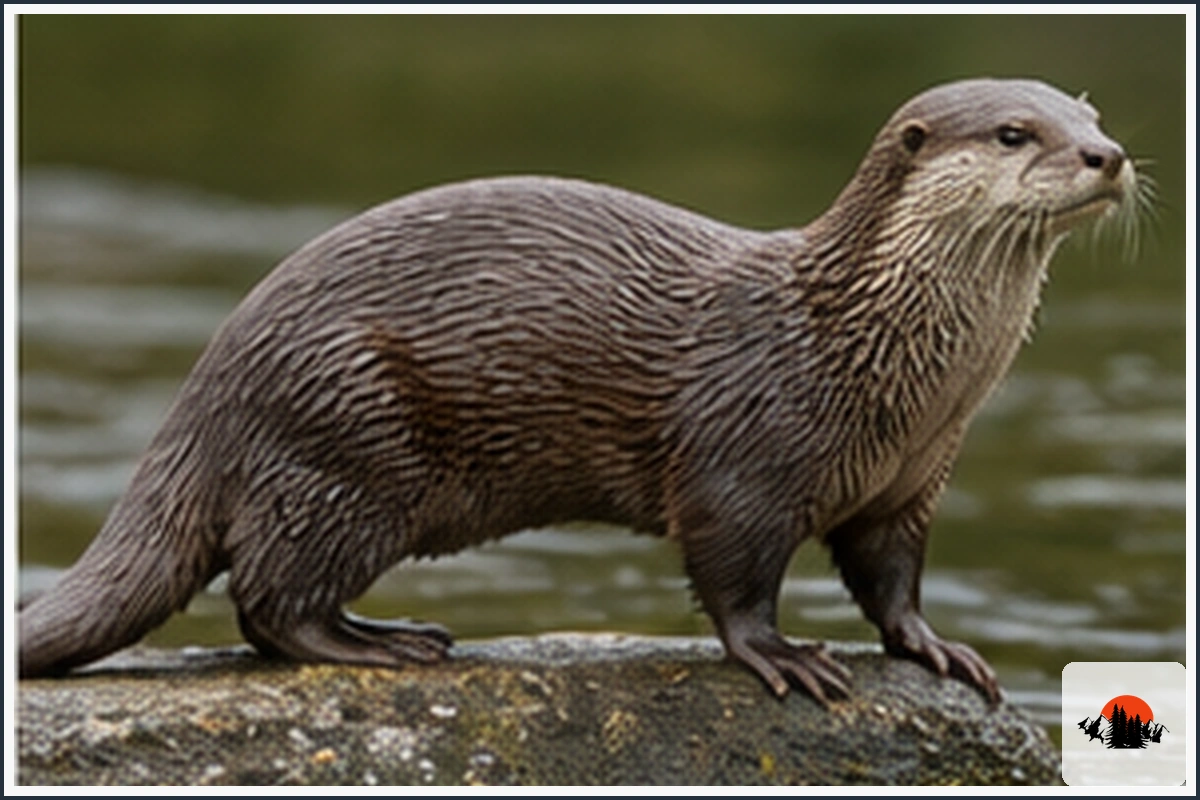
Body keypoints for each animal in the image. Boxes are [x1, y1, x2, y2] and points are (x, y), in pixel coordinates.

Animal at [19, 78, 1139, 703]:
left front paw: (937, 647)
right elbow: (733, 579)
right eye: (1013, 132)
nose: (1108, 153)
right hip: (348, 437)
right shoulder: (744, 459)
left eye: (1087, 113)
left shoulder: (910, 482)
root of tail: (211, 381)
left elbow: (892, 581)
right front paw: (783, 656)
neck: (877, 361)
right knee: (268, 599)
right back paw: (389, 643)